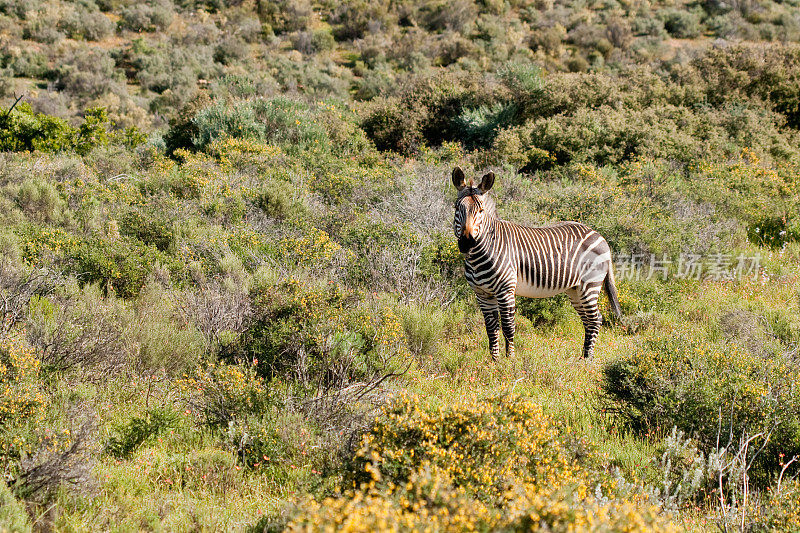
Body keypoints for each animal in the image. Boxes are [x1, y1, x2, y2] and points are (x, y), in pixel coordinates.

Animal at [454, 166, 620, 358]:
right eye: (457, 208)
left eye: (481, 211)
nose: (467, 243)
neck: (478, 257)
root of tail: (598, 235)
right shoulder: (482, 294)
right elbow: (491, 330)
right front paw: (494, 361)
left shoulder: (505, 290)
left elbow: (508, 327)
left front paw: (510, 361)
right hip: (575, 289)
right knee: (588, 320)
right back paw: (583, 358)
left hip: (590, 284)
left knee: (595, 319)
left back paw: (588, 360)